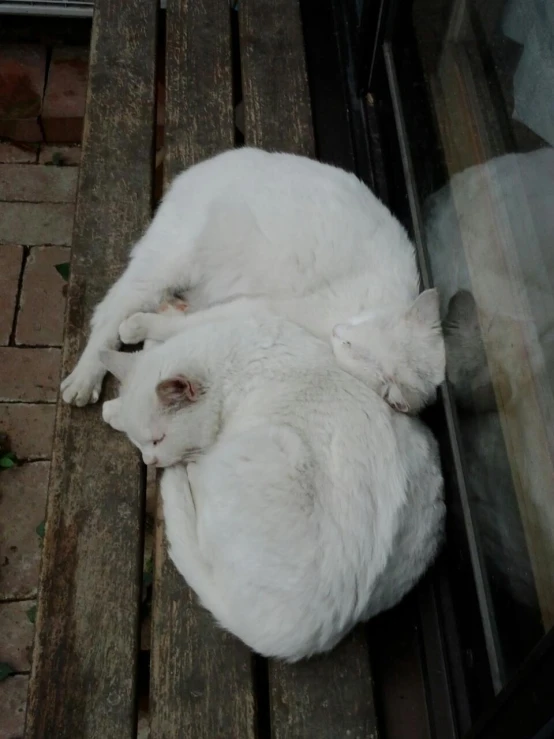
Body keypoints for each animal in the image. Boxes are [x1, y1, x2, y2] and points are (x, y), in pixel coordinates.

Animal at [59, 147, 444, 414]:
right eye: (353, 344)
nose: (340, 334)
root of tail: (198, 168)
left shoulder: (256, 311)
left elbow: (186, 326)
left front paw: (152, 327)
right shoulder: (267, 307)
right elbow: (176, 324)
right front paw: (138, 328)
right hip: (170, 262)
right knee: (112, 310)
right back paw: (84, 378)